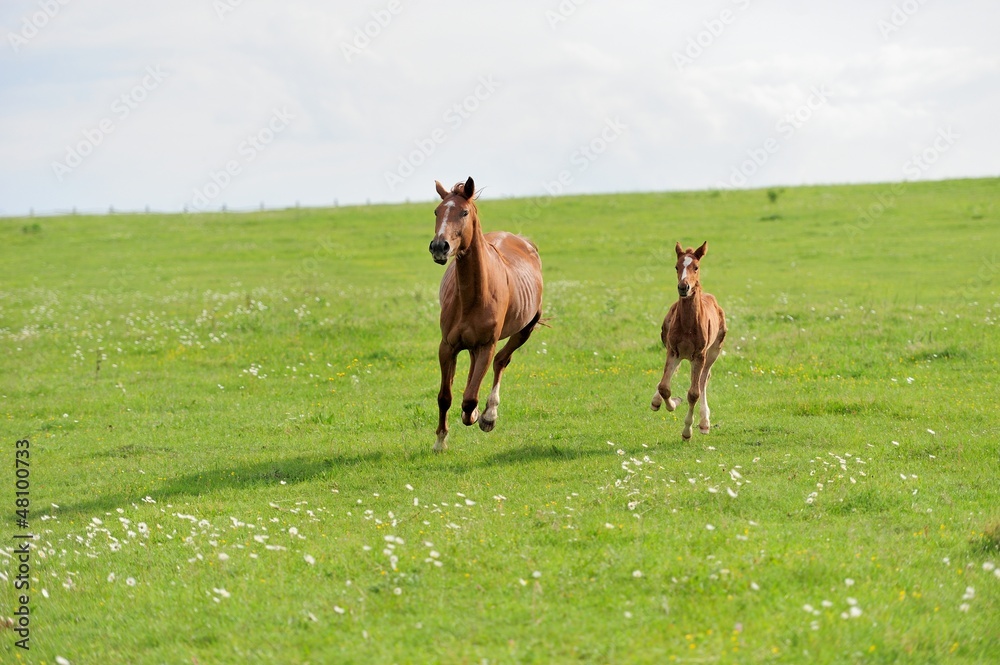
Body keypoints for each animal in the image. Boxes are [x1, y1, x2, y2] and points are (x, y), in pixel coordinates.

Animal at [426, 176, 544, 452]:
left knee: (502, 360)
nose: (439, 246)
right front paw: (440, 441)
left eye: (464, 212)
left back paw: (489, 414)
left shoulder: (487, 345)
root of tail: (523, 241)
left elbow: (469, 398)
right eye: (437, 211)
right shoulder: (447, 346)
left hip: (525, 329)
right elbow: (445, 397)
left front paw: (478, 416)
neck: (473, 296)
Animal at [652, 241, 724, 438]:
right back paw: (656, 401)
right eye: (676, 266)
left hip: (712, 352)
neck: (687, 325)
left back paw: (705, 423)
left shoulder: (699, 354)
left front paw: (687, 431)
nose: (684, 288)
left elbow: (693, 393)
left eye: (696, 267)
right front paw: (672, 403)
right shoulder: (672, 350)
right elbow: (664, 387)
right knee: (672, 376)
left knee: (703, 380)